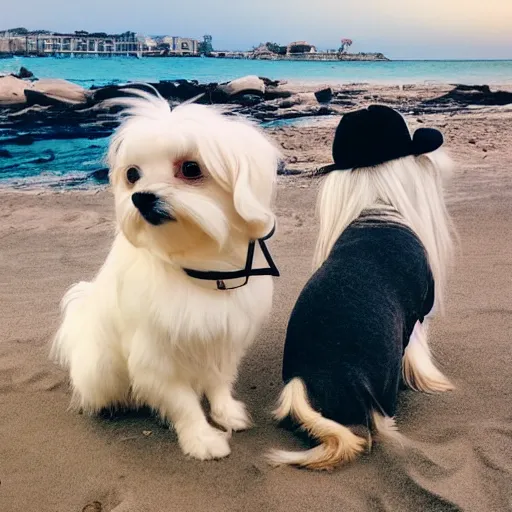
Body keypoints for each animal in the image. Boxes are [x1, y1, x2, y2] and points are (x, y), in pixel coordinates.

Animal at [50, 88, 282, 460]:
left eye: (190, 168)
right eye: (132, 174)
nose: (141, 198)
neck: (199, 265)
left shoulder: (225, 338)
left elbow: (219, 382)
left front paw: (226, 412)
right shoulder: (155, 356)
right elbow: (182, 402)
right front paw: (202, 439)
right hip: (100, 367)